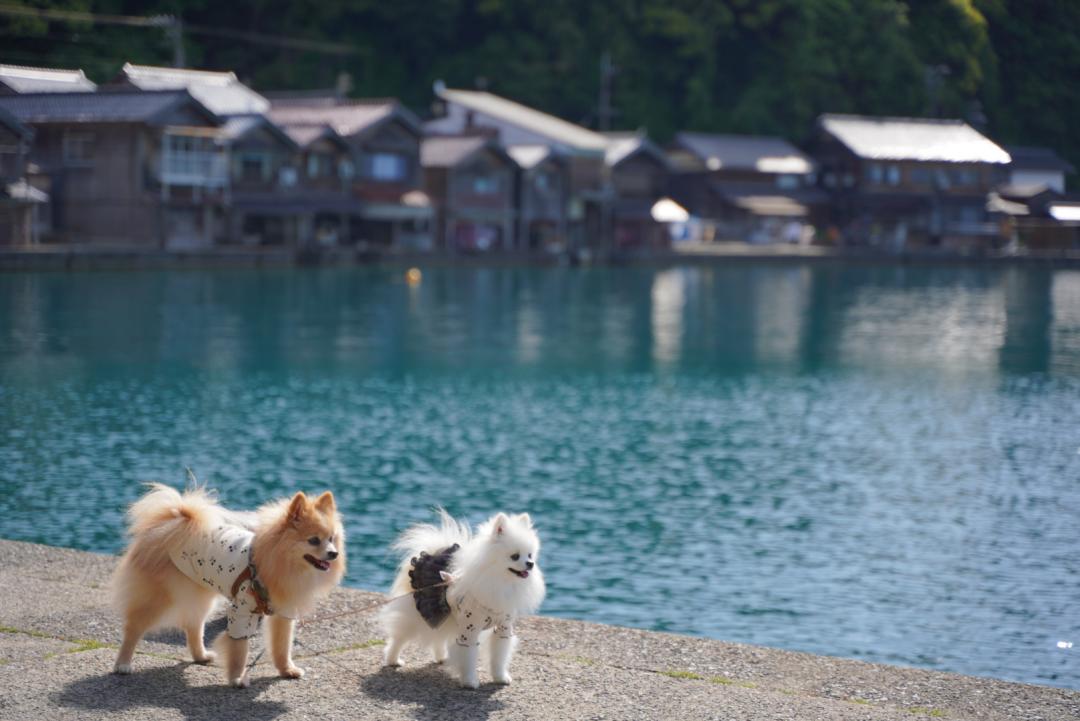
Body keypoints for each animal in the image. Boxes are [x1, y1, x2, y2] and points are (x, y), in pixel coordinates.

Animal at [112, 483, 345, 686]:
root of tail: (171, 521)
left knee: (193, 624)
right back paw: (123, 664)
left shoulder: (283, 613)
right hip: (160, 596)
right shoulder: (242, 610)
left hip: (199, 591)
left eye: (331, 539)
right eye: (314, 540)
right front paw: (237, 678)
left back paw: (201, 656)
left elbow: (282, 645)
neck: (279, 561)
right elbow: (239, 648)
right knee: (134, 626)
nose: (334, 553)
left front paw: (287, 670)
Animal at [382, 507, 548, 686]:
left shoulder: (503, 627)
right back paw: (393, 659)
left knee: (438, 635)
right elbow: (468, 656)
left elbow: (499, 655)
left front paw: (500, 677)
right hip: (418, 616)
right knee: (399, 637)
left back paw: (441, 657)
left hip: (445, 615)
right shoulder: (470, 628)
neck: (501, 581)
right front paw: (470, 682)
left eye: (530, 555)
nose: (530, 564)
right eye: (515, 556)